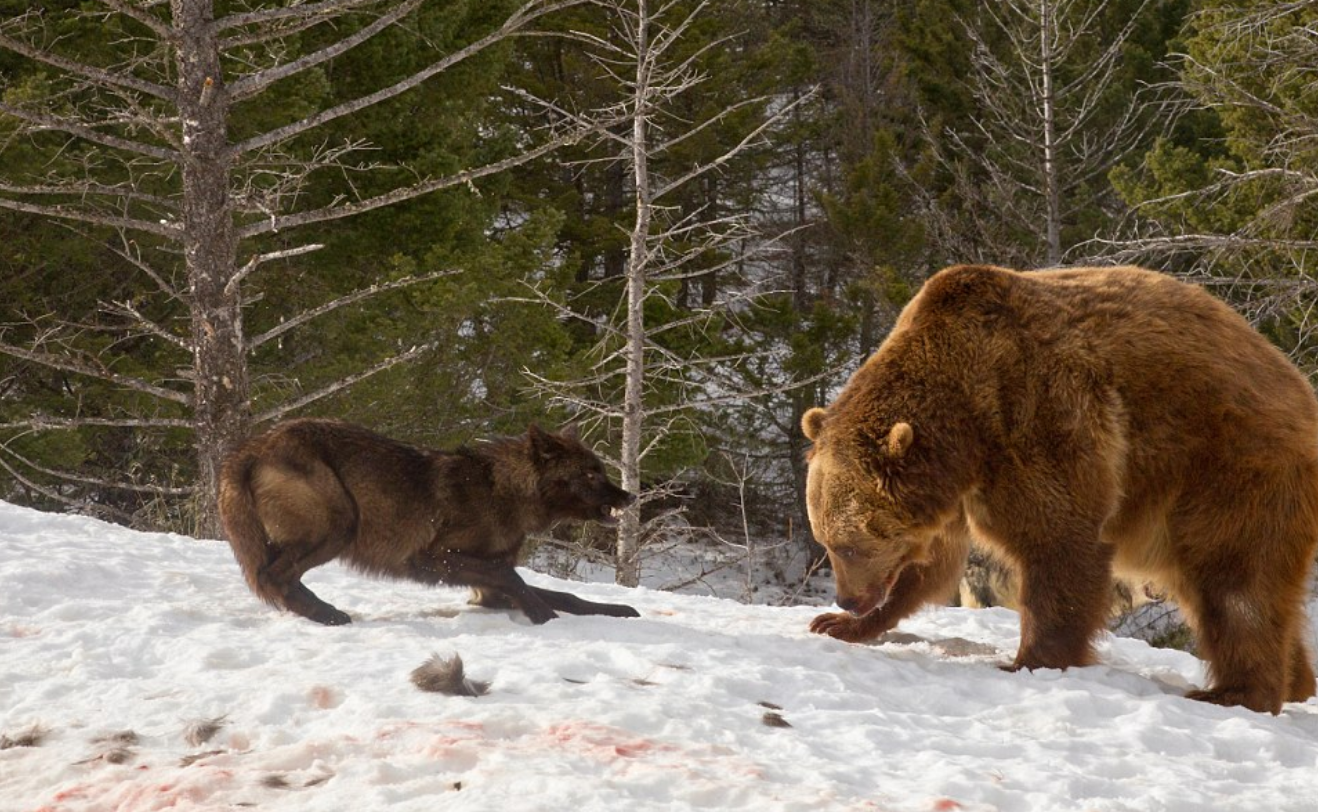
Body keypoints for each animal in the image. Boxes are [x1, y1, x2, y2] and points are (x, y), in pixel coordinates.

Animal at [216, 421, 637, 624]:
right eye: (591, 474)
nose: (630, 497)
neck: (503, 491)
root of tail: (248, 449)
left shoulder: (487, 588)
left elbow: (564, 595)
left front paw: (618, 611)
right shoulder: (432, 558)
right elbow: (515, 577)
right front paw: (542, 615)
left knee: (278, 578)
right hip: (342, 523)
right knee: (274, 577)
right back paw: (329, 614)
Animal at [796, 264, 1318, 711]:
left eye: (850, 545)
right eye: (827, 543)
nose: (847, 598)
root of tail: (1299, 387)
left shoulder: (1041, 418)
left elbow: (1060, 543)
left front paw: (1030, 659)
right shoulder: (953, 492)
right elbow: (932, 566)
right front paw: (842, 624)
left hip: (1229, 468)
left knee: (1235, 583)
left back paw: (1235, 692)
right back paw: (1295, 684)